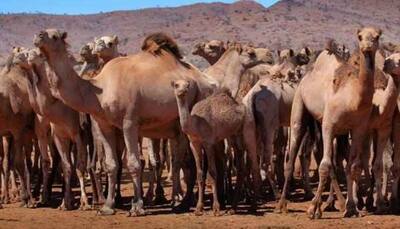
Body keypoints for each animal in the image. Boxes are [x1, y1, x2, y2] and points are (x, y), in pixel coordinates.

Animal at [34, 29, 219, 216]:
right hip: (178, 127)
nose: (39, 36)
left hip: (198, 108)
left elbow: (133, 163)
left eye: (55, 36)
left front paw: (137, 207)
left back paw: (185, 202)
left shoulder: (129, 122)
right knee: (182, 161)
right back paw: (182, 202)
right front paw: (108, 206)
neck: (99, 90)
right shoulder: (104, 124)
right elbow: (111, 164)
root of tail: (211, 82)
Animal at [276, 27, 382, 219]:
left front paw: (351, 208)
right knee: (294, 155)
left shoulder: (358, 129)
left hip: (333, 130)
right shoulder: (329, 125)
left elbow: (352, 166)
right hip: (299, 108)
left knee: (330, 159)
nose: (367, 46)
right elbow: (324, 166)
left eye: (377, 36)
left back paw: (334, 204)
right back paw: (282, 205)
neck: (353, 99)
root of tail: (305, 76)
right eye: (360, 36)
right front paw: (312, 209)